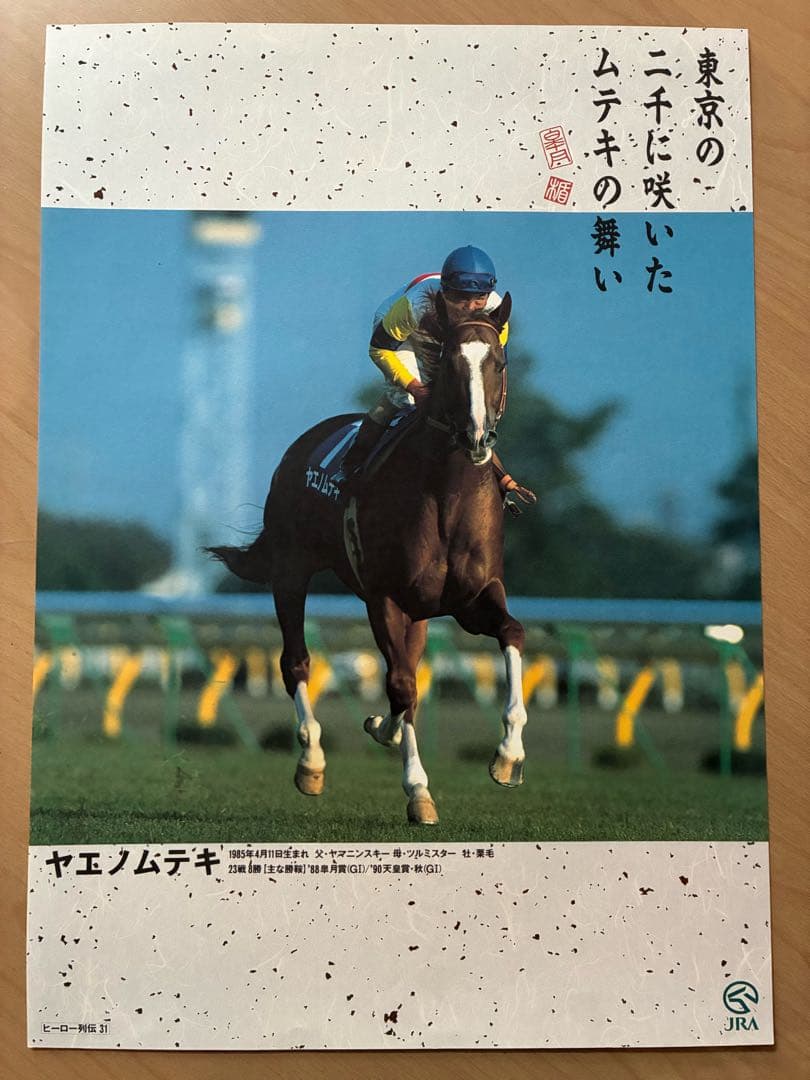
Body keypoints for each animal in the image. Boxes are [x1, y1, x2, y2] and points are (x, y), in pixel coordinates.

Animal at [208, 291, 527, 825]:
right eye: (450, 366)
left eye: (499, 363)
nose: (477, 438)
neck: (447, 495)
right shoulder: (384, 597)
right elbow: (400, 684)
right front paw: (418, 790)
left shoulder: (472, 598)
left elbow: (511, 634)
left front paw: (508, 756)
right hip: (291, 570)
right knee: (296, 662)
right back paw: (312, 762)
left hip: (418, 612)